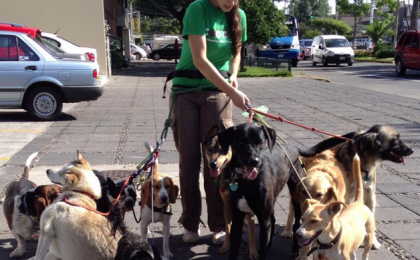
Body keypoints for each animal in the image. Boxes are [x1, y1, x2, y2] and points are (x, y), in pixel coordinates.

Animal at [203, 126, 260, 260]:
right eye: (209, 149)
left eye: (222, 150)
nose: (212, 164)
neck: (231, 176)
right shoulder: (227, 206)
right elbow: (228, 228)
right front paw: (225, 246)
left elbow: (252, 234)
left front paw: (253, 253)